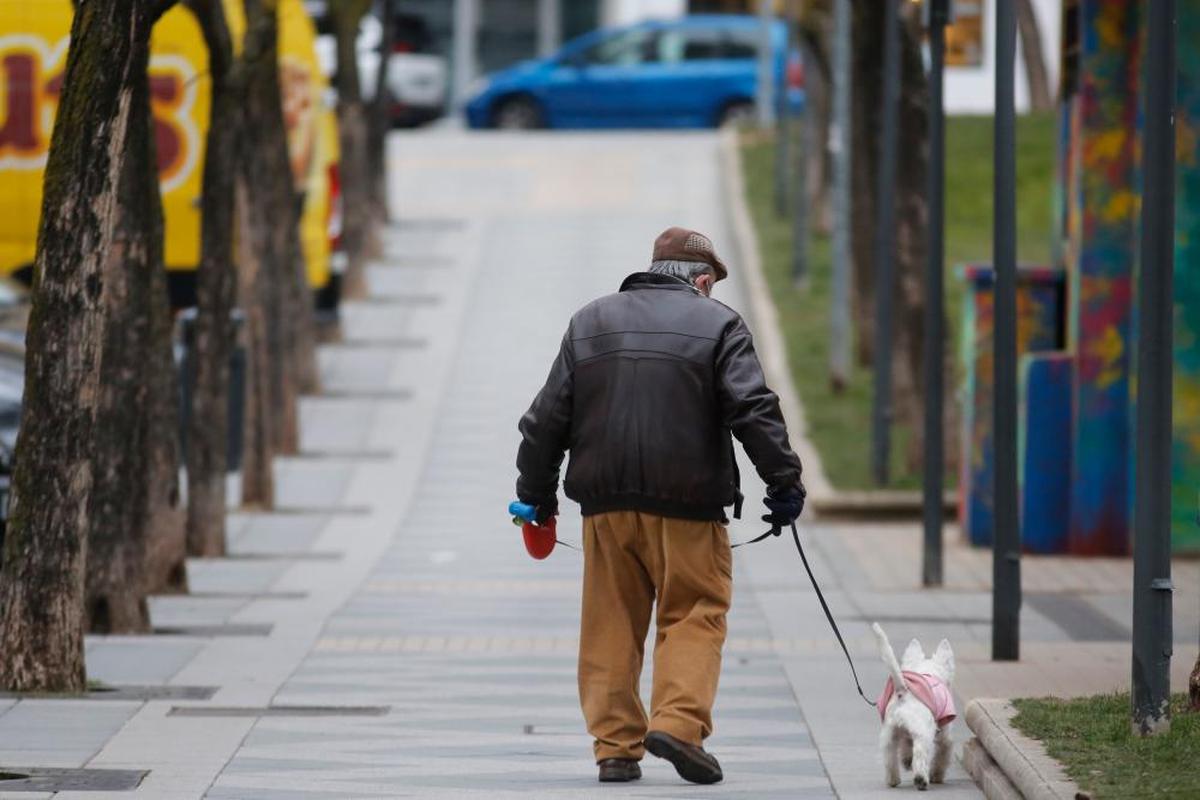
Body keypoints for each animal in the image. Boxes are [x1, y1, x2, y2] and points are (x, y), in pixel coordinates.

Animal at [873, 623, 955, 786]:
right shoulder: (945, 732)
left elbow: (906, 746)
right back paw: (921, 779)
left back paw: (893, 780)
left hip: (890, 733)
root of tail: (903, 692)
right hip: (923, 732)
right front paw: (937, 775)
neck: (928, 672)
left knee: (890, 756)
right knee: (920, 753)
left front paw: (906, 760)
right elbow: (943, 753)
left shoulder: (905, 733)